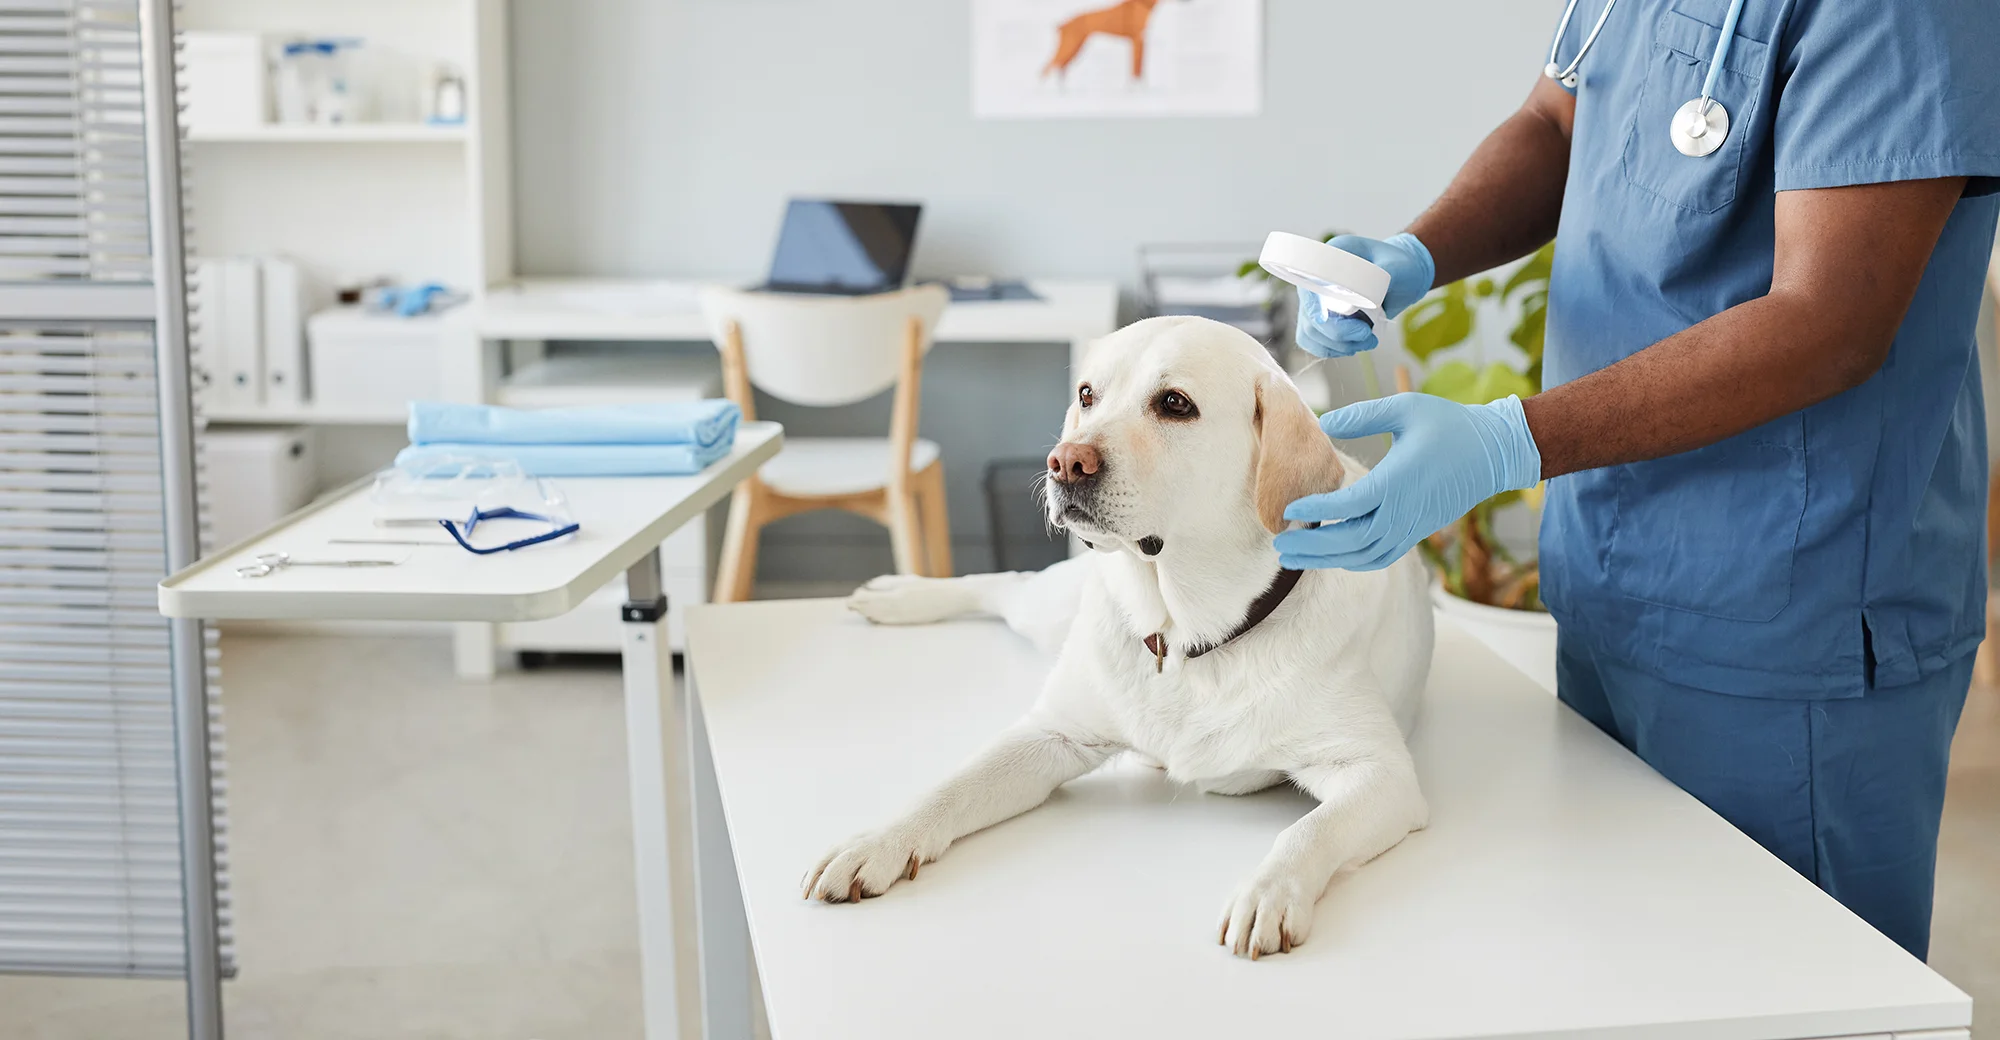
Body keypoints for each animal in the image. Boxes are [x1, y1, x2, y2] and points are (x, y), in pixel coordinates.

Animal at [804, 310, 1432, 960]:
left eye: (1175, 403)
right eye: (1087, 395)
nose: (1063, 462)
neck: (1184, 637)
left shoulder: (1379, 773)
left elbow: (1307, 830)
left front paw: (1268, 892)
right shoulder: (1050, 734)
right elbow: (949, 788)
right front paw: (878, 841)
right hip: (1051, 609)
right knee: (1002, 585)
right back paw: (902, 596)